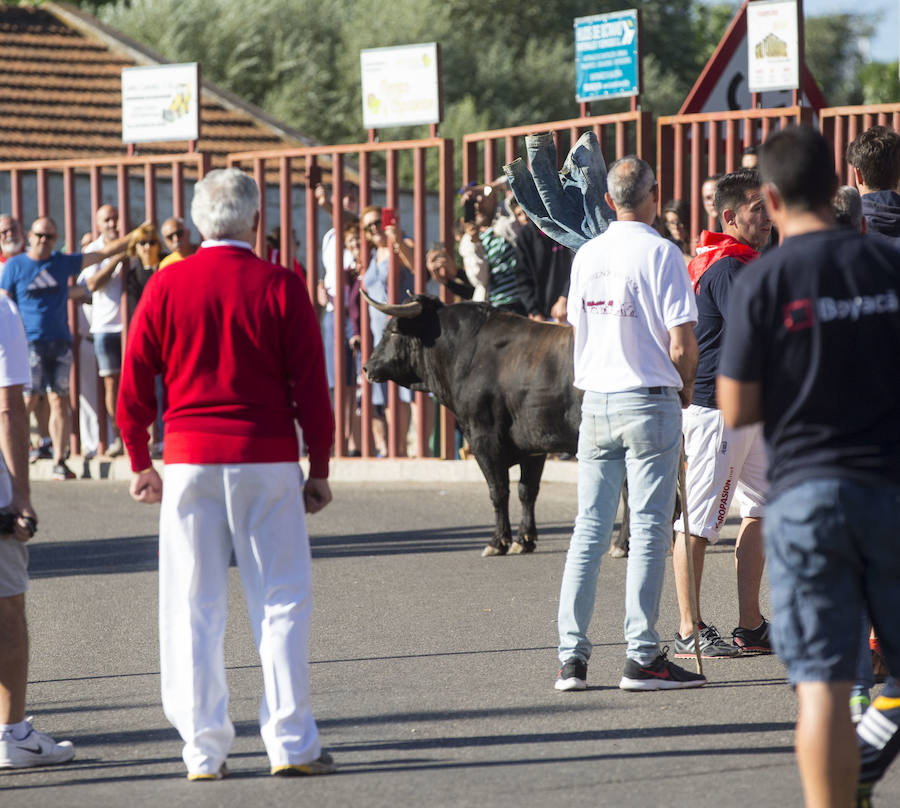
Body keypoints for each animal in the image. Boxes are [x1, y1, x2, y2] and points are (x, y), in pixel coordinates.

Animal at [362, 294, 580, 560]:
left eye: (393, 331)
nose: (367, 367)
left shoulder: (483, 439)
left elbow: (498, 490)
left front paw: (497, 541)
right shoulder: (535, 445)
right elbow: (527, 490)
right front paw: (524, 540)